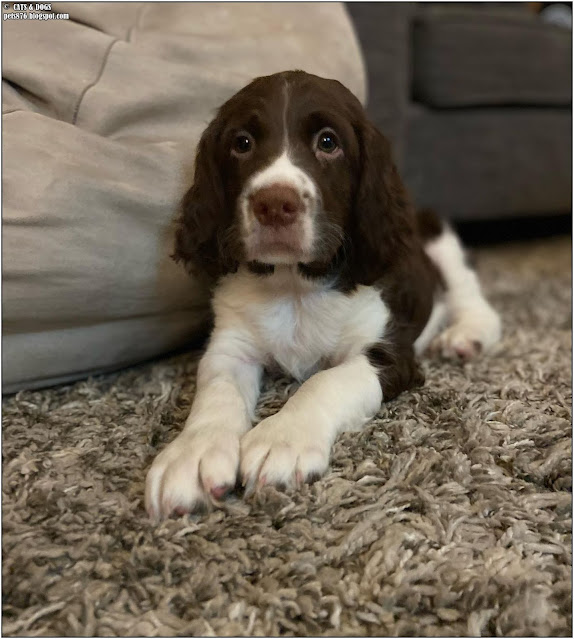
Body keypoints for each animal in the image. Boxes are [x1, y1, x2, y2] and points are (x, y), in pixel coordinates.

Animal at [145, 71, 504, 520]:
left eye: (328, 142)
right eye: (242, 143)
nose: (274, 204)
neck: (295, 285)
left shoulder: (388, 353)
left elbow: (326, 381)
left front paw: (282, 439)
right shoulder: (231, 346)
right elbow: (217, 390)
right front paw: (191, 455)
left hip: (437, 238)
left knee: (471, 295)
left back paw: (466, 335)